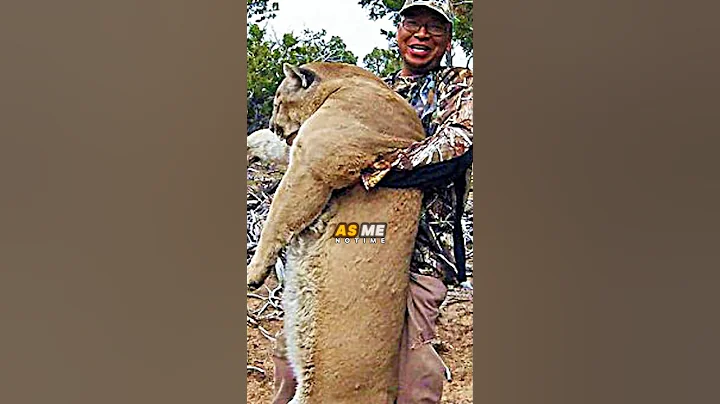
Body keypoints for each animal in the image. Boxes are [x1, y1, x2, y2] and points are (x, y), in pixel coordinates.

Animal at [246, 62, 425, 403]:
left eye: (277, 102)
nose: (275, 126)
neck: (346, 81)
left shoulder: (314, 164)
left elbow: (277, 217)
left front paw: (253, 273)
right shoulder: (300, 149)